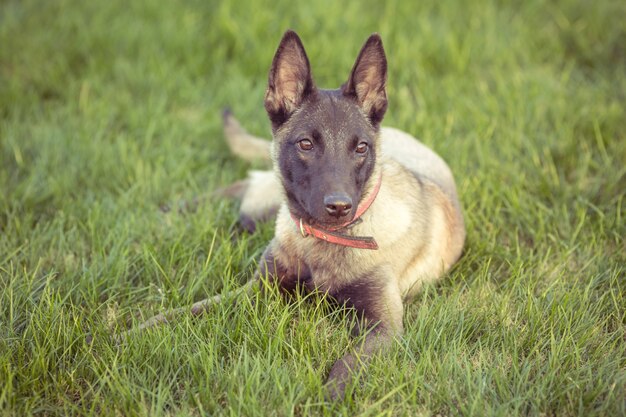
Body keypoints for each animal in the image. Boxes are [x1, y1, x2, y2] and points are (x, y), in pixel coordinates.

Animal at [125, 30, 464, 400]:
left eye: (361, 148)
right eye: (305, 144)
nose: (339, 206)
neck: (323, 242)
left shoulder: (383, 326)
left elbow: (348, 364)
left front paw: (329, 397)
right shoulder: (255, 290)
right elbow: (186, 312)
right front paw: (135, 331)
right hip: (263, 205)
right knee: (244, 185)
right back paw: (173, 210)